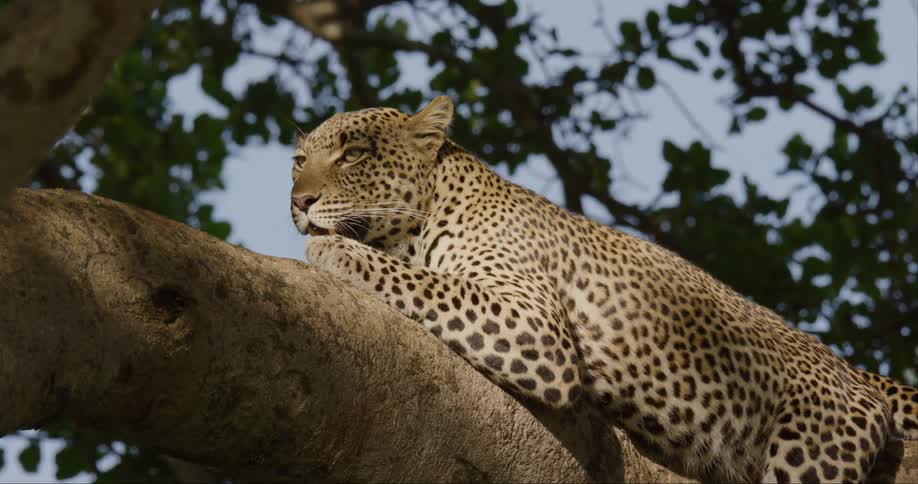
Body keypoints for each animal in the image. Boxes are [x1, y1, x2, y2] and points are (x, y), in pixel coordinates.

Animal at [289, 96, 917, 483]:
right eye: (298, 160)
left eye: (353, 155)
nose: (299, 202)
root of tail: (848, 369)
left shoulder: (533, 324)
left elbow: (422, 281)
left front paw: (333, 251)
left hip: (812, 448)